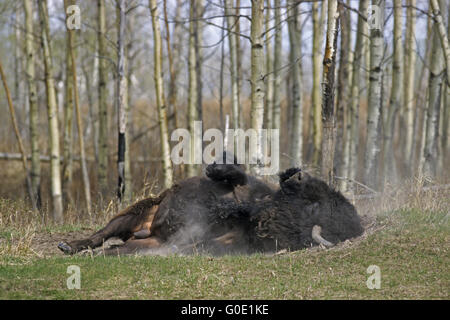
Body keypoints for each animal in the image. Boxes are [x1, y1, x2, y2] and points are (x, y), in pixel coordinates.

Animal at [58, 157, 364, 255]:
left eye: (314, 209)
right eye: (316, 199)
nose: (298, 176)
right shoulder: (246, 187)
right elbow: (236, 175)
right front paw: (214, 169)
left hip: (150, 240)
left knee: (120, 247)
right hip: (137, 211)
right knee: (99, 235)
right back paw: (69, 246)